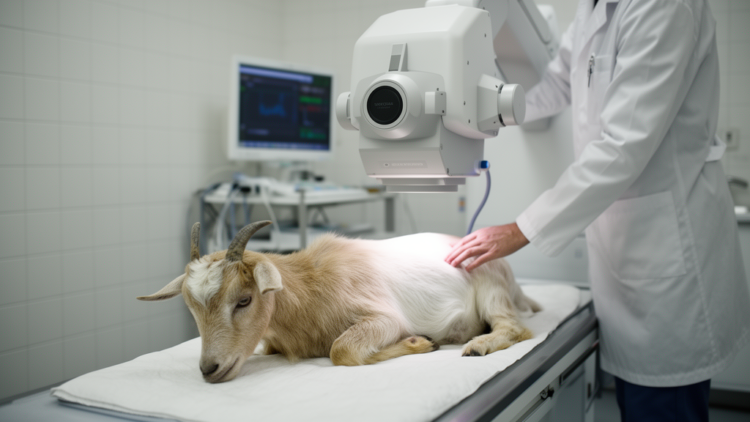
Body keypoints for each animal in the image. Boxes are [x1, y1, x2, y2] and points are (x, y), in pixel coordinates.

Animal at [138, 221, 541, 383]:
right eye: (191, 307)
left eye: (244, 300)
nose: (210, 368)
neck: (310, 288)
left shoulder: (382, 317)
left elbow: (341, 351)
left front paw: (420, 342)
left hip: (490, 289)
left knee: (516, 328)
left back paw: (477, 344)